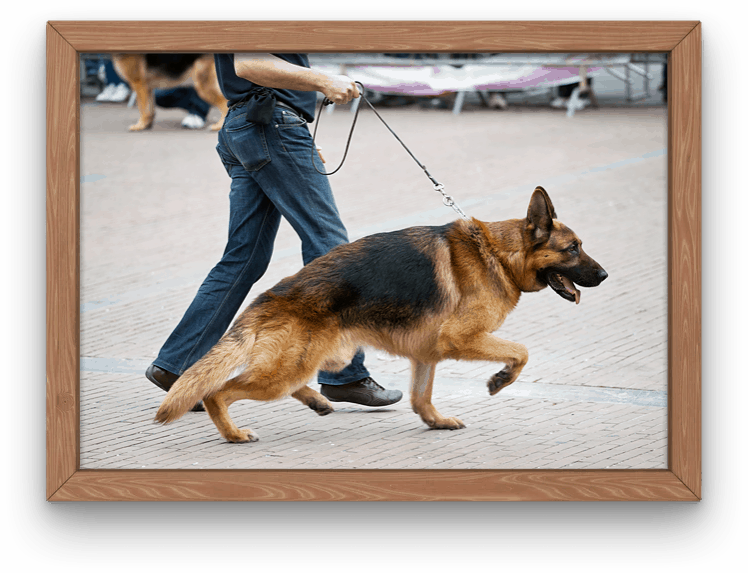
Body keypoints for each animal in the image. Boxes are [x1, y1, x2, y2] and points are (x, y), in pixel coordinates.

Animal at [155, 188, 604, 442]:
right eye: (573, 249)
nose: (604, 275)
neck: (498, 253)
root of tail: (270, 295)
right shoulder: (462, 339)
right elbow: (522, 352)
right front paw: (500, 380)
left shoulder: (426, 355)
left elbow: (422, 398)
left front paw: (435, 422)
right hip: (286, 370)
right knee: (218, 392)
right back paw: (233, 434)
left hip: (318, 358)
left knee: (292, 383)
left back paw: (317, 401)